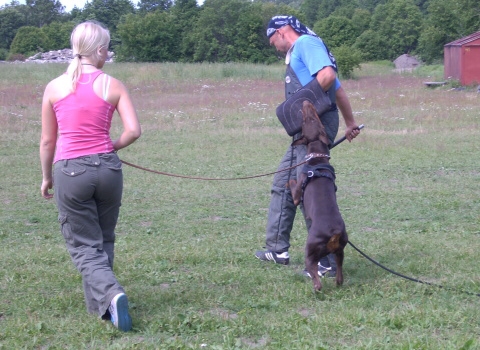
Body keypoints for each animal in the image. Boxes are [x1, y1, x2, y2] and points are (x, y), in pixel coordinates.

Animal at [286, 100, 346, 292]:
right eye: (314, 119)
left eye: (308, 120)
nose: (306, 102)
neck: (317, 159)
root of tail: (333, 234)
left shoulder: (297, 193)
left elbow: (292, 182)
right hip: (340, 251)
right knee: (339, 275)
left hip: (310, 251)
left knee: (316, 280)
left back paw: (314, 286)